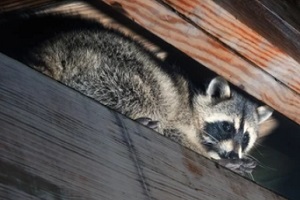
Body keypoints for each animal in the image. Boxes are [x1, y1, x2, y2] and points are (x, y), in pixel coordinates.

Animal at [0, 14, 272, 173]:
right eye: (226, 126)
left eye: (245, 137)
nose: (233, 153)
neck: (193, 105)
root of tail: (56, 46)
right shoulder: (179, 117)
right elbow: (174, 132)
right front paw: (218, 159)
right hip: (112, 67)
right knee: (143, 92)